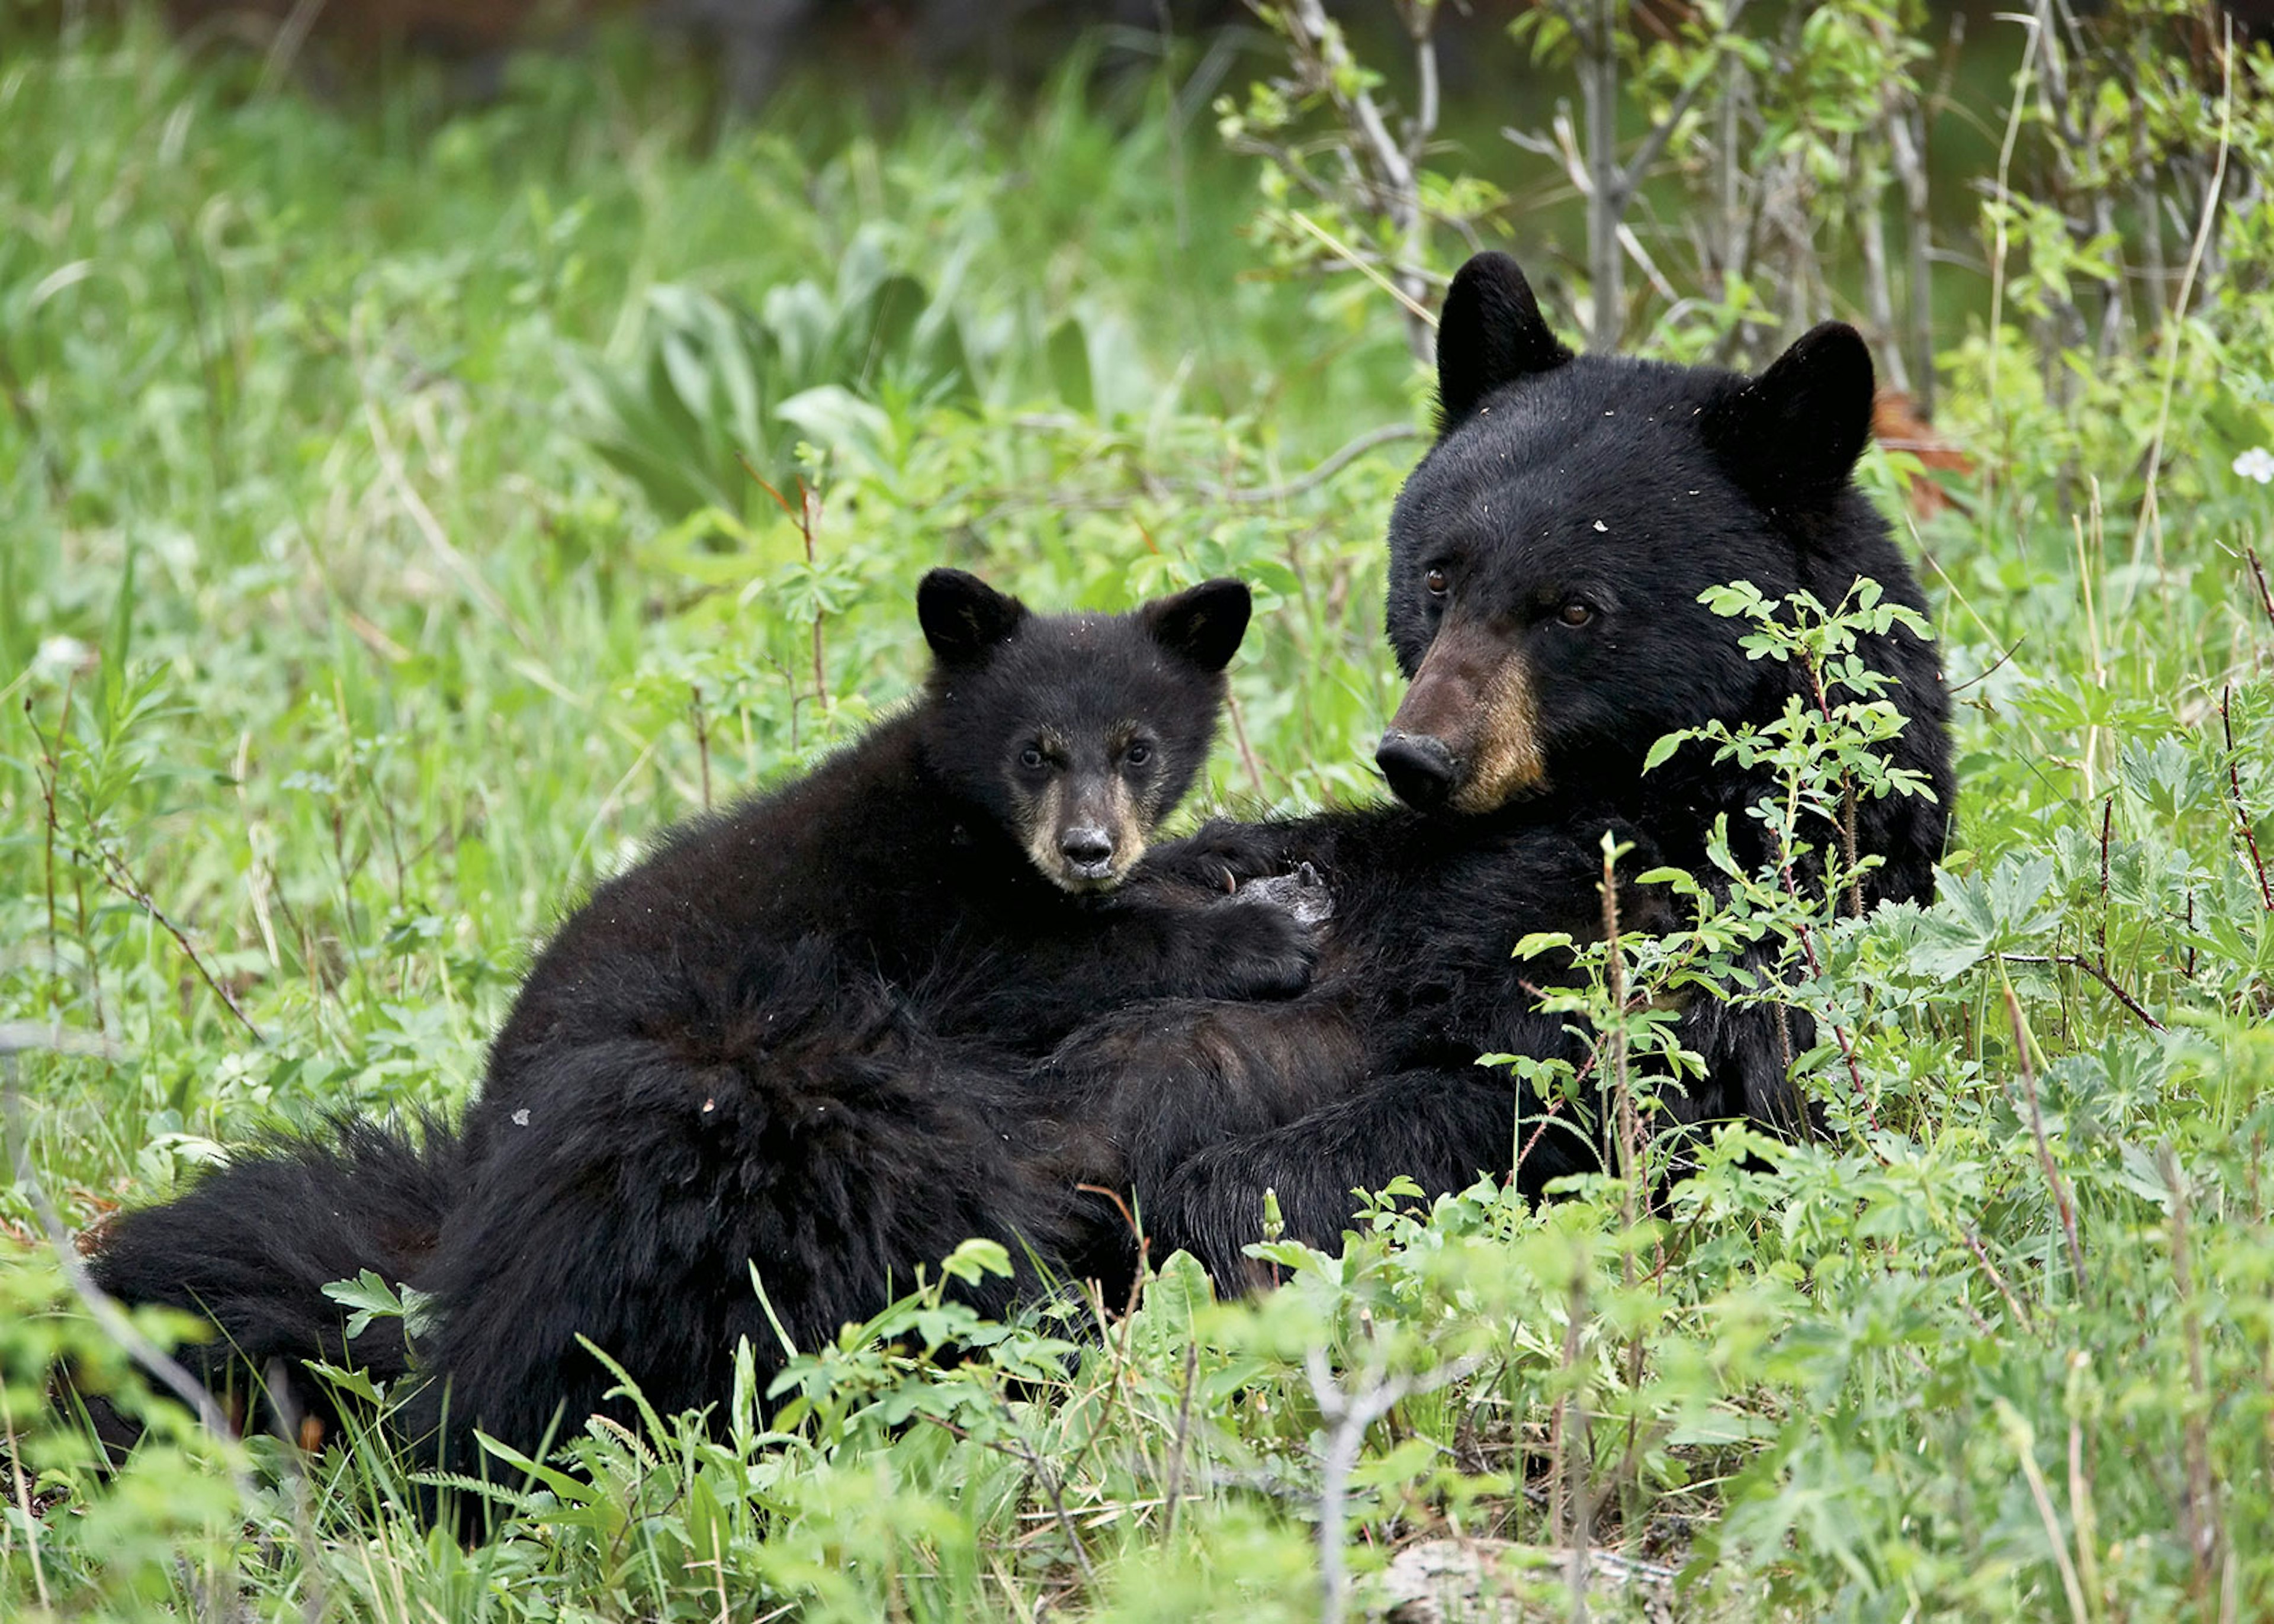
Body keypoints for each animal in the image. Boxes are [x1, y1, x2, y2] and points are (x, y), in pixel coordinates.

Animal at [88, 568, 1319, 1465]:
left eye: (1138, 746)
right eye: (1036, 752)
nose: (1089, 847)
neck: (970, 823)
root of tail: (473, 1189)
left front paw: (1232, 866)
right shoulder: (932, 913)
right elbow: (1042, 964)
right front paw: (1264, 930)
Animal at [1068, 252, 1955, 1282]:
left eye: (1574, 608)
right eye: (1438, 575)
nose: (1419, 757)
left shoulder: (1710, 950)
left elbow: (1553, 1105)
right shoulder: (1346, 863)